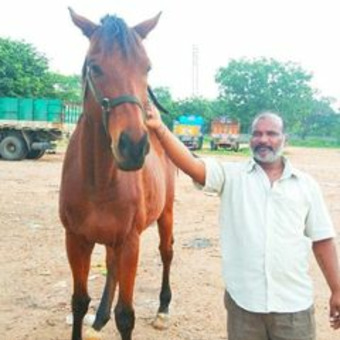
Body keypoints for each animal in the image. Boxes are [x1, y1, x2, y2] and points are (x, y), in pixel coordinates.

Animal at [59, 8, 175, 340]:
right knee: (110, 265)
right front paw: (94, 314)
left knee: (166, 252)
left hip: (166, 214)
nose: (133, 146)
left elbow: (126, 315)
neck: (99, 182)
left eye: (146, 67)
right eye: (95, 67)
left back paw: (163, 309)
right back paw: (100, 316)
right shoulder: (75, 240)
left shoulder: (130, 242)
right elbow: (78, 302)